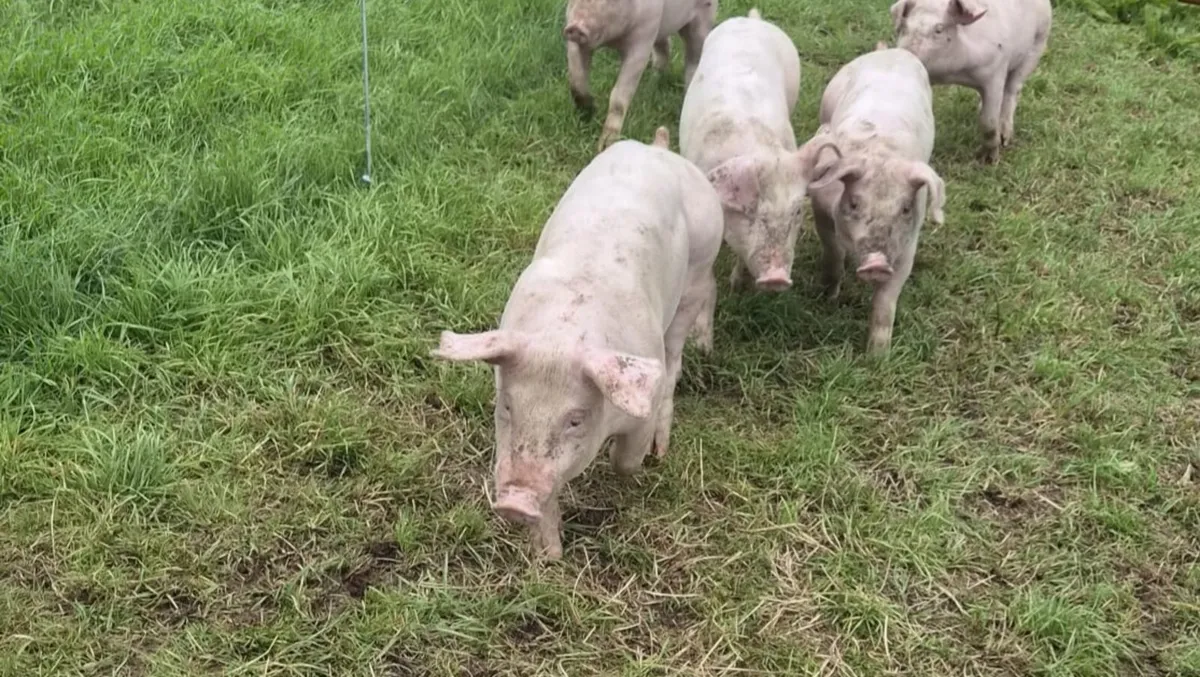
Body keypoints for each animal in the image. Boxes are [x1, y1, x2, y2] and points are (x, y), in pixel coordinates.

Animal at [431, 128, 724, 559]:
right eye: (507, 405)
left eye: (575, 419)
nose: (514, 502)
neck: (562, 334)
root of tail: (658, 148)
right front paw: (549, 557)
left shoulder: (640, 400)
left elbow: (626, 460)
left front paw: (628, 471)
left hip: (700, 269)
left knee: (674, 359)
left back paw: (661, 450)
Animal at [565, 0, 718, 152]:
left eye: (612, 1)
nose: (575, 27)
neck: (614, 40)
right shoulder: (574, 41)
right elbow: (577, 83)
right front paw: (588, 112)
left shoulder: (643, 40)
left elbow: (619, 98)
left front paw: (605, 146)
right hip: (661, 29)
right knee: (665, 48)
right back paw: (653, 81)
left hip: (702, 19)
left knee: (693, 58)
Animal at [679, 8, 836, 292]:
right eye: (754, 212)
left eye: (797, 212)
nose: (777, 278)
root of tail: (752, 20)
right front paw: (733, 286)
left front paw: (737, 284)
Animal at [803, 47, 947, 353]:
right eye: (854, 203)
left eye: (905, 208)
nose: (877, 263)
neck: (882, 153)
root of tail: (895, 50)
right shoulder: (821, 208)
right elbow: (832, 254)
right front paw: (828, 297)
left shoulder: (907, 246)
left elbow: (885, 303)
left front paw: (878, 356)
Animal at [890, 0, 1052, 164]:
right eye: (904, 27)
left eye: (939, 30)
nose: (904, 53)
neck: (955, 73)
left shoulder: (995, 73)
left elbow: (988, 123)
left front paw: (988, 161)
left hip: (1038, 43)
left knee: (1012, 90)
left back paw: (1005, 138)